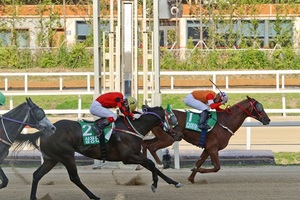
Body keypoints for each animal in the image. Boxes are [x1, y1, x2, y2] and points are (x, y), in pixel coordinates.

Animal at [15, 105, 183, 199]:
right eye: (173, 118)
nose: (179, 135)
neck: (132, 128)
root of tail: (44, 131)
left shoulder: (136, 155)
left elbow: (153, 166)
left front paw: (175, 182)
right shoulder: (128, 157)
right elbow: (151, 164)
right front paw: (154, 184)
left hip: (52, 159)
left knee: (37, 175)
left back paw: (33, 197)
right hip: (66, 155)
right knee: (74, 178)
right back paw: (94, 196)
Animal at [142, 95, 270, 183]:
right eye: (259, 107)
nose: (267, 119)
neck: (225, 122)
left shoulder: (207, 148)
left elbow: (198, 163)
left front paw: (191, 178)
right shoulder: (213, 148)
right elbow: (217, 167)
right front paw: (198, 171)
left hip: (161, 136)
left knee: (145, 144)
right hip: (169, 138)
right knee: (152, 147)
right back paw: (159, 164)